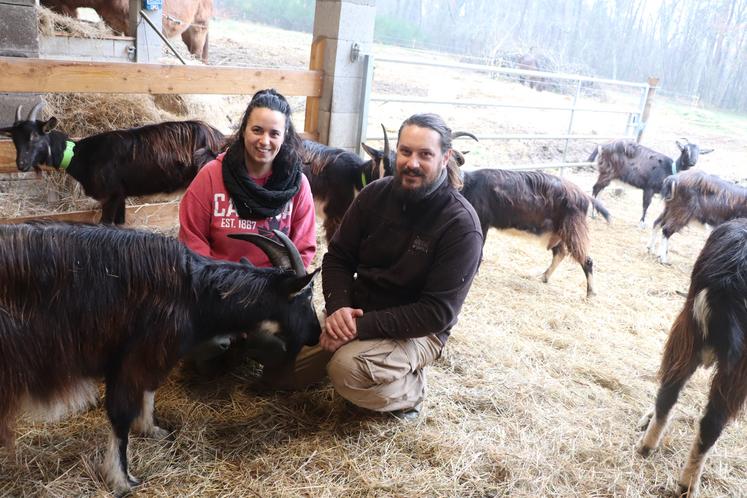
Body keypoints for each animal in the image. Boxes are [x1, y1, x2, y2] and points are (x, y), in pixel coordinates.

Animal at [0, 224, 318, 496]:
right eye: (305, 298)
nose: (316, 334)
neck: (192, 293)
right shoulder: (131, 358)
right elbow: (121, 415)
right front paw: (122, 479)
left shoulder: (150, 356)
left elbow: (148, 392)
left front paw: (151, 430)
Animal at [1, 101, 226, 224]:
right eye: (14, 140)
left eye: (34, 137)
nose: (21, 164)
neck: (80, 155)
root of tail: (221, 138)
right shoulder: (120, 194)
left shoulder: (109, 195)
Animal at [462, 169, 612, 298]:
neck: (468, 185)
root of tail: (584, 196)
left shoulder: (482, 222)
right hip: (559, 233)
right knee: (560, 253)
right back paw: (544, 277)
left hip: (573, 230)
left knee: (586, 260)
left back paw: (591, 293)